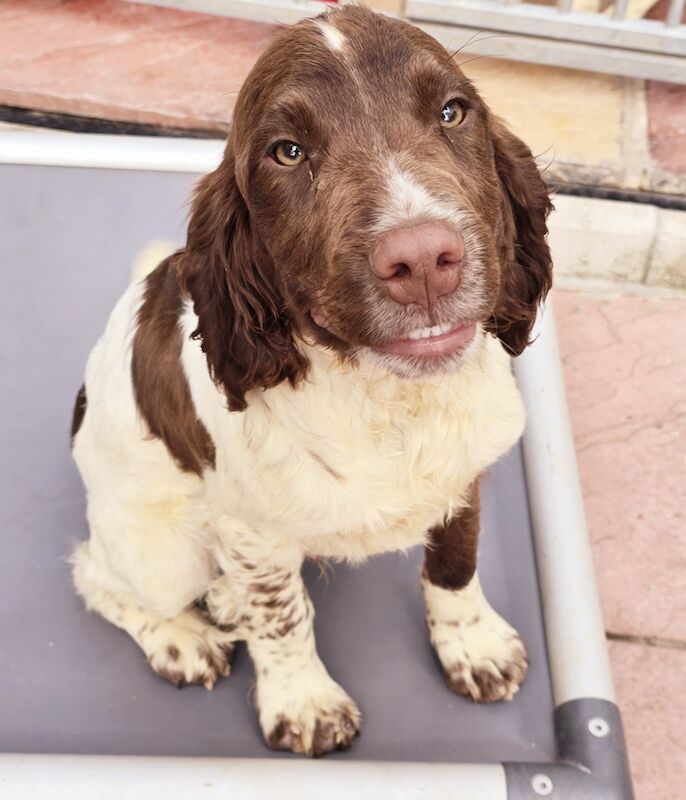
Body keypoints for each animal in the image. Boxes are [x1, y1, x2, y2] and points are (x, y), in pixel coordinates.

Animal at [70, 6, 552, 756]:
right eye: (288, 152)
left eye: (452, 112)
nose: (423, 260)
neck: (387, 398)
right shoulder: (249, 528)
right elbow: (282, 617)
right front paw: (304, 703)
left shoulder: (466, 470)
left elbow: (455, 563)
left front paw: (473, 647)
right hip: (161, 548)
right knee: (96, 573)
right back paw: (181, 638)